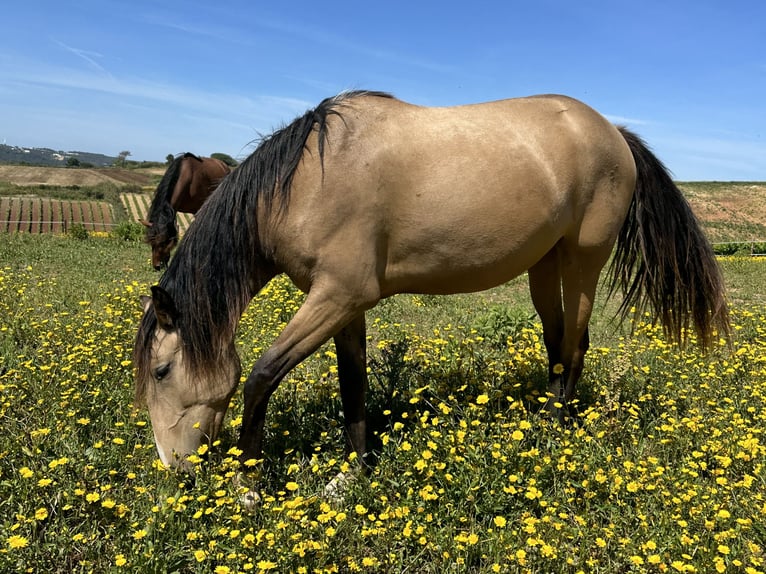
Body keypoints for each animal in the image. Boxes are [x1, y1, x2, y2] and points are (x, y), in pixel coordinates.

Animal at [132, 91, 732, 476]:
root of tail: (614, 132)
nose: (175, 469)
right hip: (545, 266)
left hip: (584, 261)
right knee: (559, 343)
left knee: (576, 347)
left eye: (162, 371)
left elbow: (261, 376)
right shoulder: (344, 304)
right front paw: (355, 472)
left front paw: (250, 481)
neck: (303, 184)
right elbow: (354, 384)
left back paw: (554, 435)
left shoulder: (338, 296)